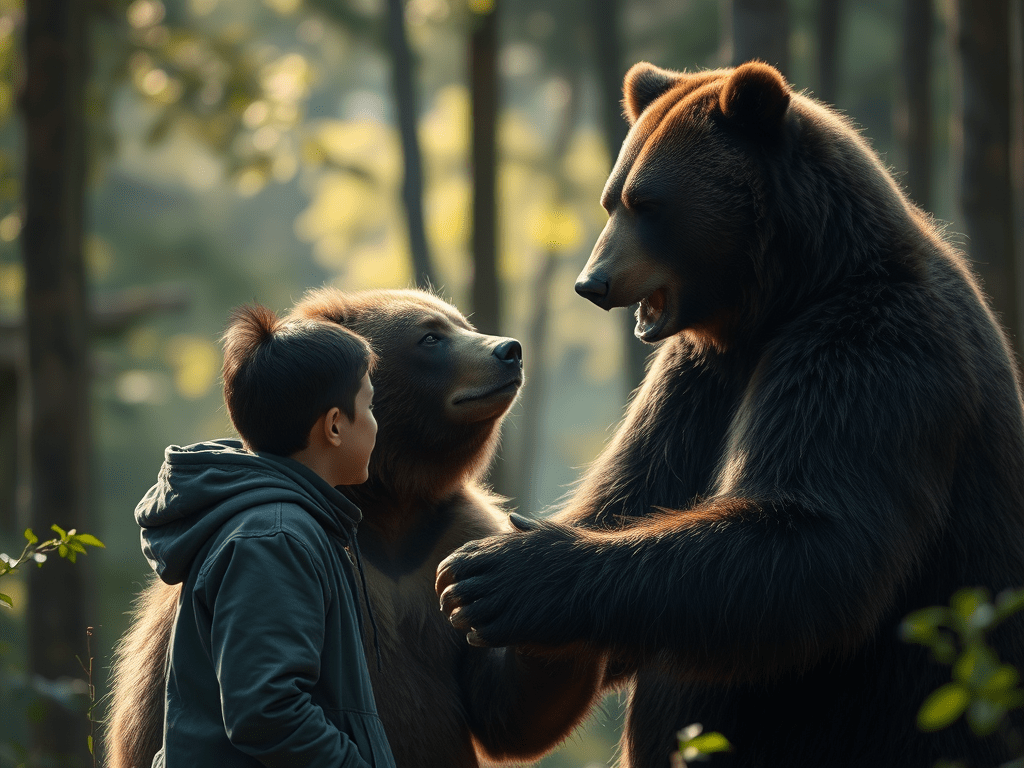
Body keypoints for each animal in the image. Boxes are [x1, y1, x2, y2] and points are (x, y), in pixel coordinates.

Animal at [105, 288, 605, 768]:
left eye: (464, 323)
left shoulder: (452, 536)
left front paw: (534, 595)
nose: (509, 350)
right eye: (430, 336)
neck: (386, 506)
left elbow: (500, 707)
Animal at [435, 61, 1024, 768]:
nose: (591, 282)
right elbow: (639, 489)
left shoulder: (870, 355)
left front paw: (504, 573)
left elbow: (812, 537)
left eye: (647, 204)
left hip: (917, 702)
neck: (786, 295)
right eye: (612, 199)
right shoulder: (698, 380)